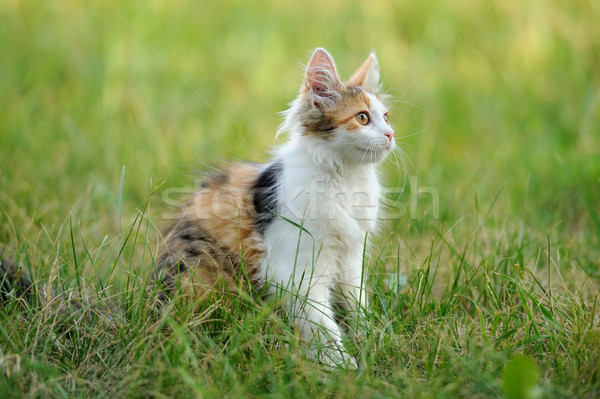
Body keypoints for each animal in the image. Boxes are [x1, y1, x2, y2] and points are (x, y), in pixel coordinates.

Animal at [155, 47, 394, 368]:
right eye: (363, 117)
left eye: (386, 117)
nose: (391, 134)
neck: (346, 178)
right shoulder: (295, 269)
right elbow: (323, 324)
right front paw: (342, 364)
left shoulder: (352, 257)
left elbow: (357, 304)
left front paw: (370, 339)